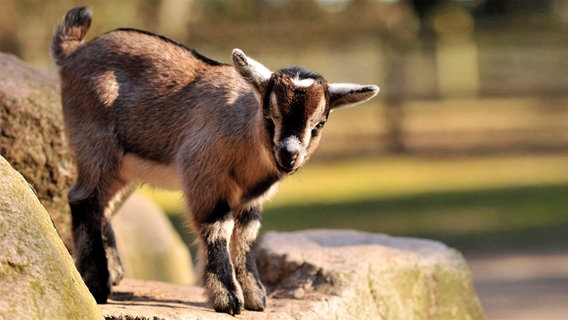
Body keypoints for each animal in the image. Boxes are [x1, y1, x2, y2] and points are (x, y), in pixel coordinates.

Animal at [53, 6, 380, 314]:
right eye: (269, 116)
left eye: (319, 124)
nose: (289, 155)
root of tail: (74, 52)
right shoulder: (203, 173)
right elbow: (217, 228)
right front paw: (228, 298)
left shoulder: (250, 199)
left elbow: (246, 236)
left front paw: (256, 297)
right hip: (95, 144)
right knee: (84, 199)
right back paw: (97, 284)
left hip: (123, 168)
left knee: (104, 204)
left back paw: (115, 272)